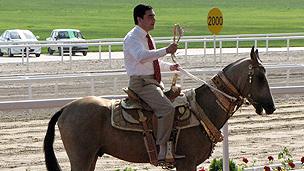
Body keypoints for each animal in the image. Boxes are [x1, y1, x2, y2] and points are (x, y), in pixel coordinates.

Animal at [43, 46, 276, 171]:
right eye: (260, 76)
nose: (271, 107)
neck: (201, 109)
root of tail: (66, 108)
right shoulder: (186, 163)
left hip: (90, 157)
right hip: (81, 157)